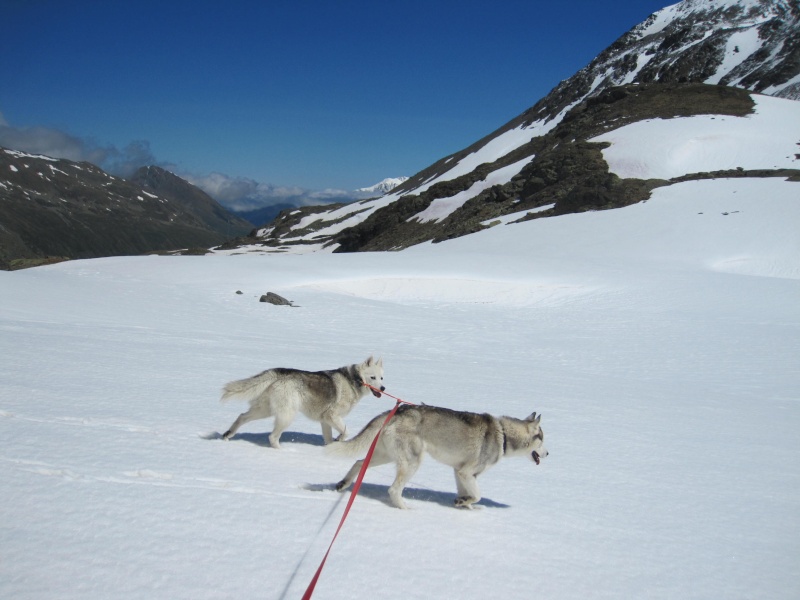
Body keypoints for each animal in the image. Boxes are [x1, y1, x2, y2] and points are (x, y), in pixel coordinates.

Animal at [217, 354, 382, 448]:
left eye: (381, 377)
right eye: (373, 377)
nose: (383, 388)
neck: (354, 380)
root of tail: (279, 373)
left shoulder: (325, 420)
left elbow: (329, 438)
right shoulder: (332, 416)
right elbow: (346, 431)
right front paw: (339, 439)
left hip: (264, 410)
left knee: (242, 417)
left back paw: (228, 435)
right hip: (286, 416)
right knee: (272, 437)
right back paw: (282, 451)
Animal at [328, 404, 548, 506]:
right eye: (543, 439)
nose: (548, 453)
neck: (503, 435)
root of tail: (398, 410)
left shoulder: (460, 472)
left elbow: (468, 495)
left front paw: (463, 504)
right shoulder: (467, 473)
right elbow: (477, 495)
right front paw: (466, 503)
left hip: (386, 455)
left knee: (358, 462)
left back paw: (343, 483)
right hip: (411, 462)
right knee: (393, 490)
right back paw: (406, 510)